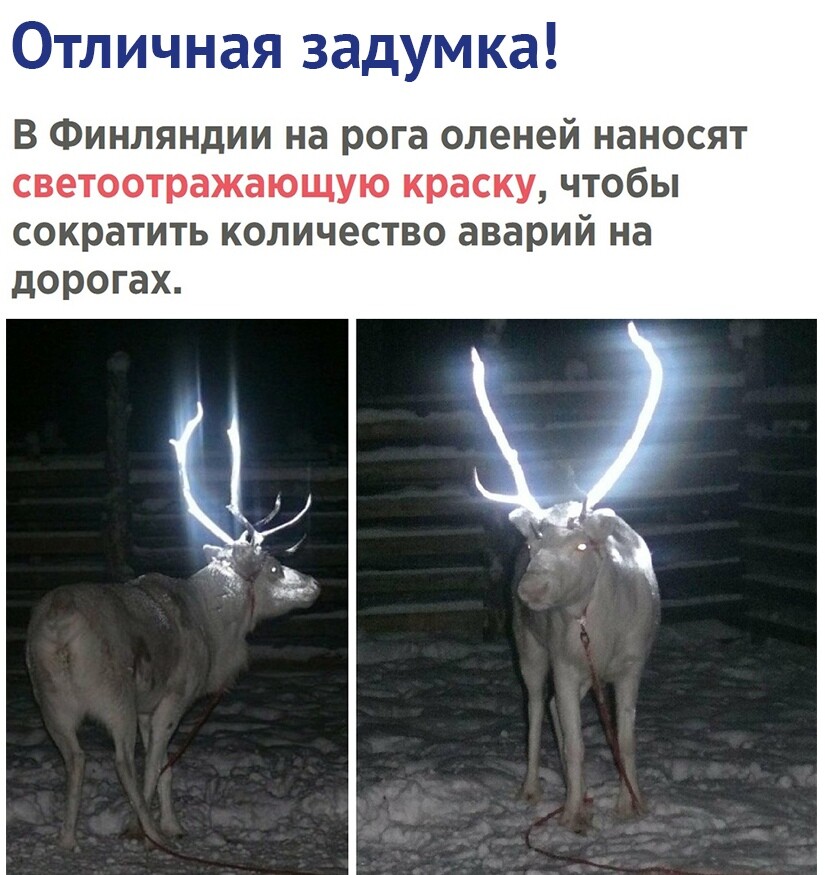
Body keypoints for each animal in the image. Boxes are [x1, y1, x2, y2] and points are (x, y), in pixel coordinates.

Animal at [25, 403, 320, 851]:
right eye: (273, 568)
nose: (315, 585)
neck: (213, 631)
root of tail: (60, 628)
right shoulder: (174, 696)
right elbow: (156, 763)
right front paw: (145, 827)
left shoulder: (150, 707)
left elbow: (165, 763)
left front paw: (173, 823)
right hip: (114, 693)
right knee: (120, 760)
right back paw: (143, 829)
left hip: (50, 700)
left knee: (75, 757)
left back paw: (67, 838)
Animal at [471, 323, 662, 834]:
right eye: (536, 546)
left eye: (581, 546)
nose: (530, 588)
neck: (597, 629)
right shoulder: (565, 660)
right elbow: (575, 742)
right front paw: (574, 814)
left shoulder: (632, 663)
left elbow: (626, 738)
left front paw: (632, 804)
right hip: (530, 649)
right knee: (538, 708)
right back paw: (534, 789)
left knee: (558, 709)